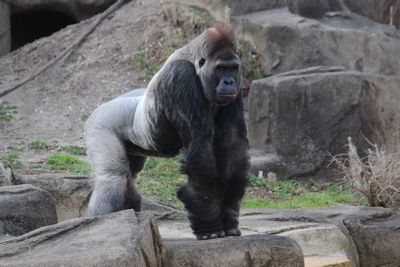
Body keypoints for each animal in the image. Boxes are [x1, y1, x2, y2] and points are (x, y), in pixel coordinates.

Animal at [85, 23, 248, 241]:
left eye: (233, 68)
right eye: (221, 68)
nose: (229, 82)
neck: (194, 62)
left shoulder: (237, 88)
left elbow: (232, 145)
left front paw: (229, 218)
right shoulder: (181, 77)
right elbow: (200, 150)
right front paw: (209, 225)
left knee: (130, 176)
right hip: (99, 124)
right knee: (112, 178)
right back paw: (99, 224)